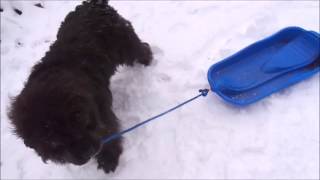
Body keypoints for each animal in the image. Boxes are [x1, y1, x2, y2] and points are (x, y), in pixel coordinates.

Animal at [7, 0, 152, 174]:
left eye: (77, 124)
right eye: (53, 142)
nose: (84, 156)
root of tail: (93, 4)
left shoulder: (102, 115)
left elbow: (109, 132)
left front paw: (108, 160)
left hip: (125, 43)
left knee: (141, 48)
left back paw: (147, 60)